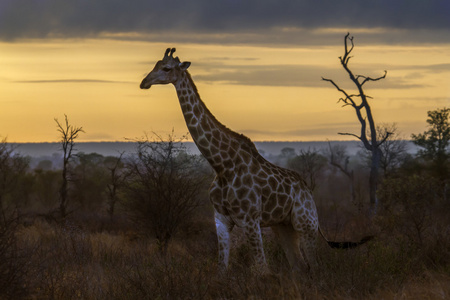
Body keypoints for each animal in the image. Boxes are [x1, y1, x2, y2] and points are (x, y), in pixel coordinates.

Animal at [139, 48, 370, 274]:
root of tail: (308, 192)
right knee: (299, 267)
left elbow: (261, 270)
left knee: (315, 266)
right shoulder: (221, 220)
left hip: (306, 224)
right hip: (283, 226)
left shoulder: (250, 220)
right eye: (155, 64)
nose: (144, 82)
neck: (222, 166)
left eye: (167, 68)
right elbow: (221, 270)